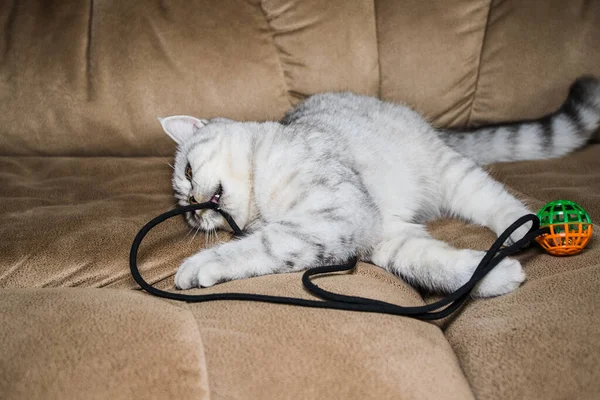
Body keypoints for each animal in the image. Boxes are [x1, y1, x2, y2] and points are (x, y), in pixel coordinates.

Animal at [159, 77, 600, 296]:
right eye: (189, 216)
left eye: (188, 172)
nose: (195, 205)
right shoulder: (381, 237)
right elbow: (433, 265)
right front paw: (493, 276)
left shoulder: (336, 214)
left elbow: (261, 245)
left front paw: (198, 266)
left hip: (454, 174)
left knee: (499, 202)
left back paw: (528, 227)